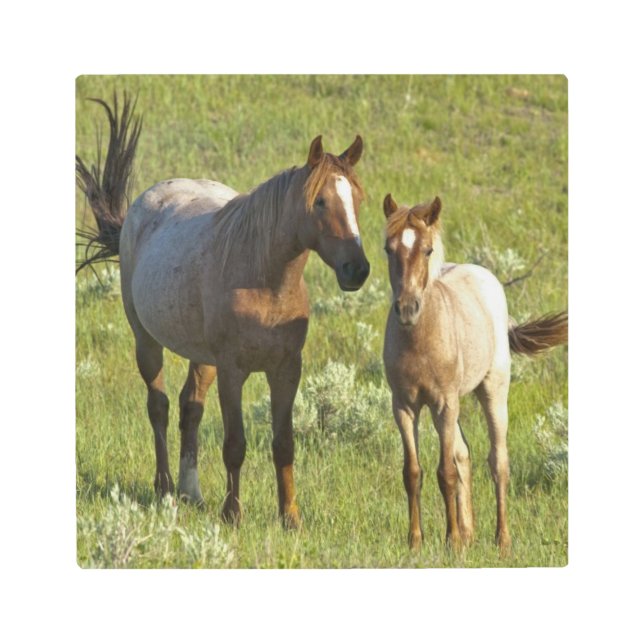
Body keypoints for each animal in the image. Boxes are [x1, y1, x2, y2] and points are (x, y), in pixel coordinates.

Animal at [76, 95, 370, 529]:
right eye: (319, 201)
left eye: (357, 201)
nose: (357, 269)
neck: (266, 282)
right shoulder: (234, 370)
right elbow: (235, 444)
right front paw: (233, 513)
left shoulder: (287, 369)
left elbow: (284, 444)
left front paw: (290, 517)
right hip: (146, 341)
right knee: (159, 407)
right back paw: (166, 489)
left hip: (203, 357)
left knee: (190, 408)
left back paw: (192, 492)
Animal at [381, 193, 567, 552]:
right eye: (388, 248)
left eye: (427, 250)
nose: (407, 308)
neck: (420, 341)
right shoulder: (404, 407)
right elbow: (413, 472)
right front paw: (416, 541)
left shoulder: (444, 403)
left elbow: (445, 472)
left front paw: (451, 540)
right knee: (464, 454)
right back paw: (469, 533)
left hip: (491, 391)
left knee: (498, 461)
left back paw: (501, 539)